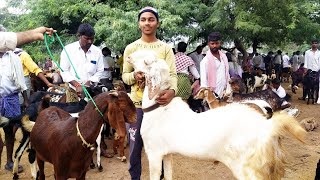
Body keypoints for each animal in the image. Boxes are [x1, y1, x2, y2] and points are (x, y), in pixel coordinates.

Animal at [129, 50, 306, 180]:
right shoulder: (167, 155)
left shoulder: (154, 154)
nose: (129, 56)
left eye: (147, 60)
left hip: (248, 169)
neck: (159, 108)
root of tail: (266, 126)